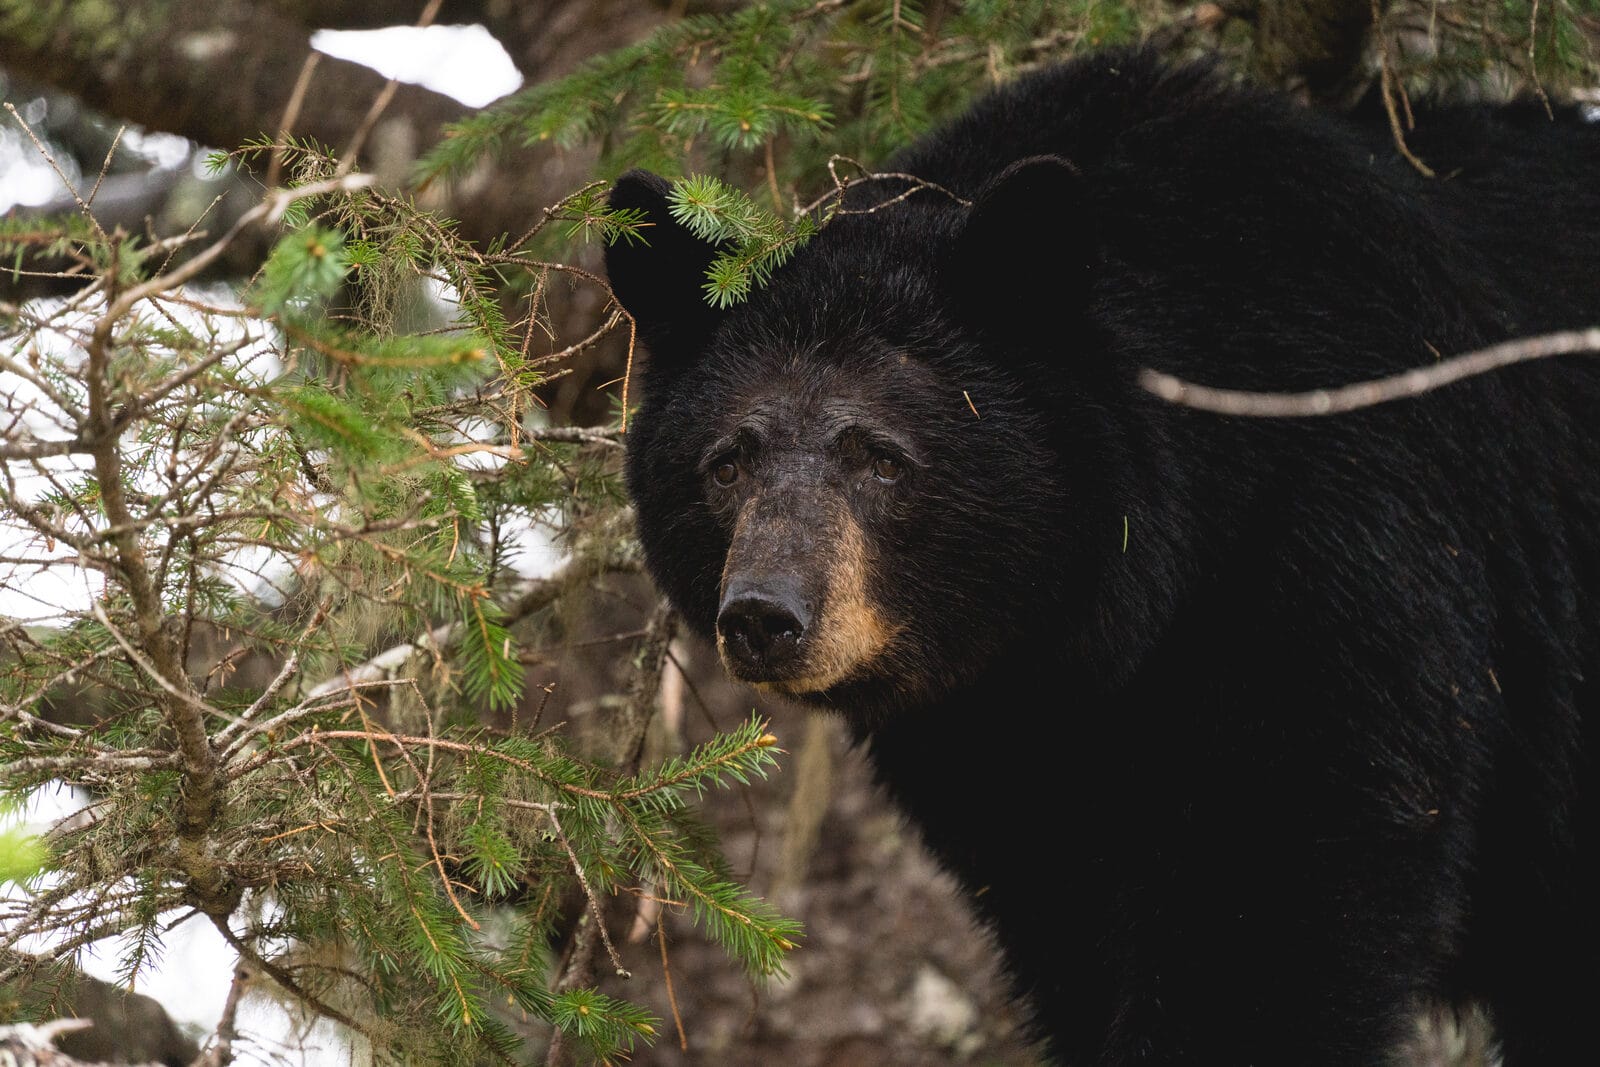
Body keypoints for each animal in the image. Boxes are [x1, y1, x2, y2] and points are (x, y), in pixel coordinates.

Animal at [603, 46, 1600, 1066]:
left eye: (880, 456)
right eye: (726, 462)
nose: (764, 614)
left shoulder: (1345, 556)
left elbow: (1279, 912)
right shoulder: (1015, 761)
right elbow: (1072, 941)